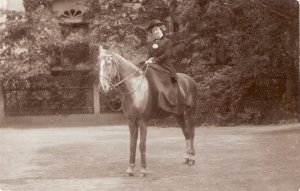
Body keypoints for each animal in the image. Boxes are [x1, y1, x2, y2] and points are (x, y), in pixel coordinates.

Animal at [97, 45, 198, 177]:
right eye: (98, 64)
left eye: (108, 63)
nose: (102, 87)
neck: (135, 89)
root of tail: (190, 80)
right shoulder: (131, 122)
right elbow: (132, 144)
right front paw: (130, 169)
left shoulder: (143, 122)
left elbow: (142, 145)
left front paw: (143, 169)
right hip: (178, 114)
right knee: (186, 133)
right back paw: (187, 157)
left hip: (190, 113)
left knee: (191, 133)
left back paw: (192, 158)